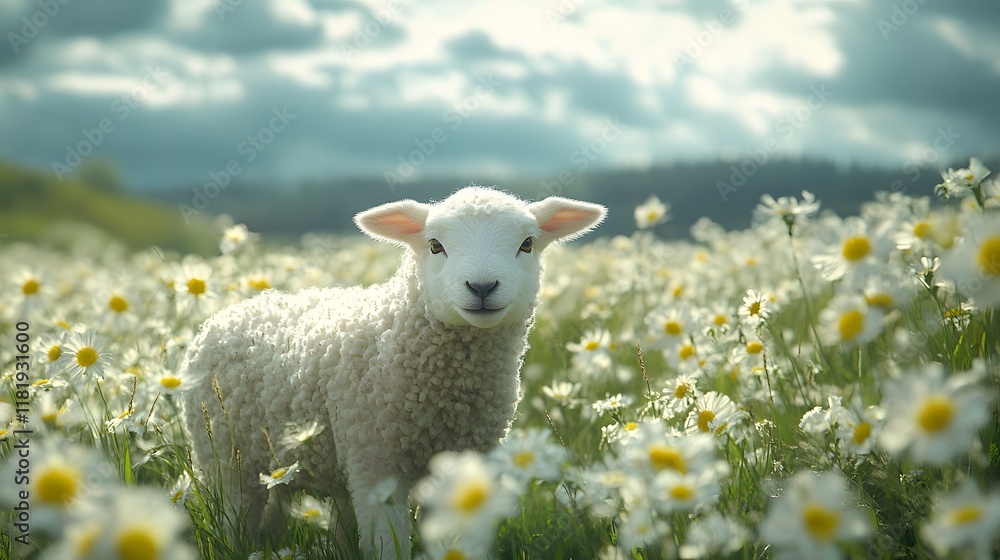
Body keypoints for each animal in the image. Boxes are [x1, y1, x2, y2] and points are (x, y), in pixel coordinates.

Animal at [180, 186, 606, 558]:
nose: (482, 287)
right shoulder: (375, 460)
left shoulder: (465, 462)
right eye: (435, 245)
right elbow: (388, 545)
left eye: (527, 244)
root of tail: (239, 308)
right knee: (235, 517)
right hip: (224, 455)